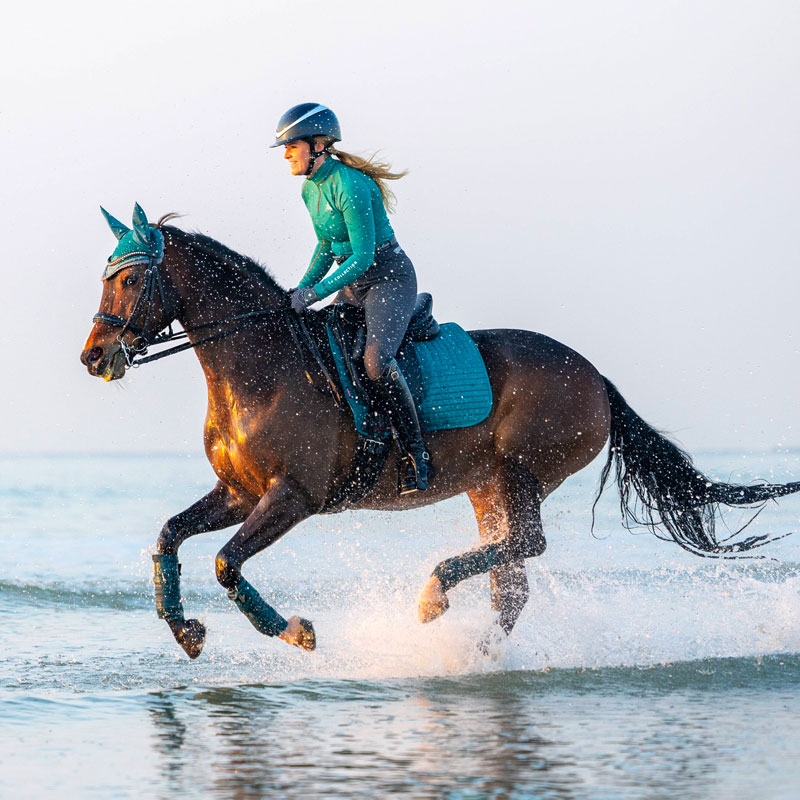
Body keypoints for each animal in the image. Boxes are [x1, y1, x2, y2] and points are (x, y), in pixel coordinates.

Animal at [81, 203, 800, 660]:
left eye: (131, 278)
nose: (93, 357)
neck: (261, 367)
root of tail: (596, 377)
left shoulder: (293, 496)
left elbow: (228, 562)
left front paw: (295, 632)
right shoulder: (238, 491)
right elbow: (169, 537)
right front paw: (186, 632)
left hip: (520, 471)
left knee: (526, 547)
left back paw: (433, 599)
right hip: (487, 485)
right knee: (512, 579)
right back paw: (475, 653)